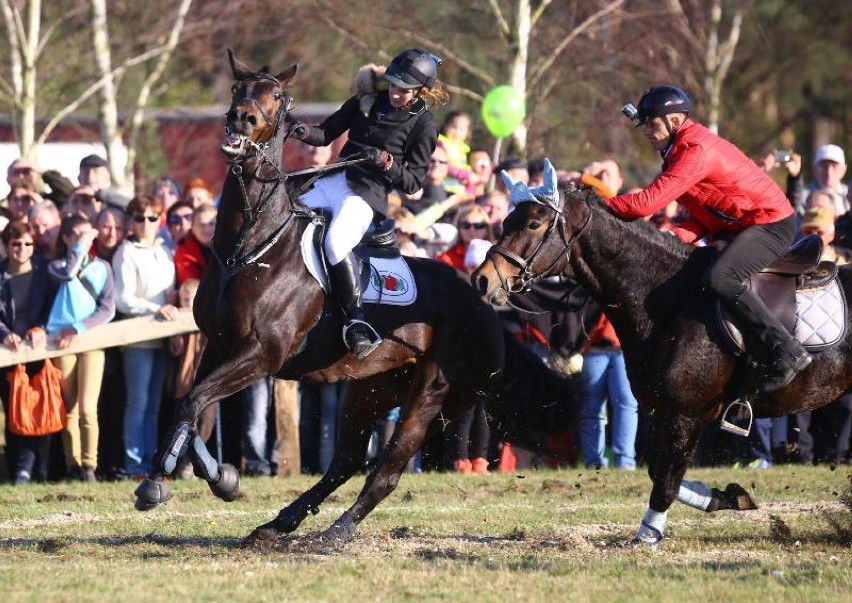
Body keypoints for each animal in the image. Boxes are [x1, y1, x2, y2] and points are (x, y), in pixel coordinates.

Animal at [135, 52, 580, 544]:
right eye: (237, 90)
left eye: (278, 96)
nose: (242, 119)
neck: (249, 245)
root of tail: (483, 304)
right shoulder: (218, 346)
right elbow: (192, 406)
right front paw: (211, 478)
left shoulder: (262, 355)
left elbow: (193, 403)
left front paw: (171, 483)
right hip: (372, 388)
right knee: (344, 462)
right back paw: (277, 524)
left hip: (430, 395)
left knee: (385, 469)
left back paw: (336, 531)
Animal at [472, 162, 852, 548]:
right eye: (506, 222)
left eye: (534, 224)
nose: (482, 280)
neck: (665, 298)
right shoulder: (664, 411)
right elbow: (661, 472)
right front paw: (724, 497)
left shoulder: (686, 413)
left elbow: (667, 481)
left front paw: (648, 533)